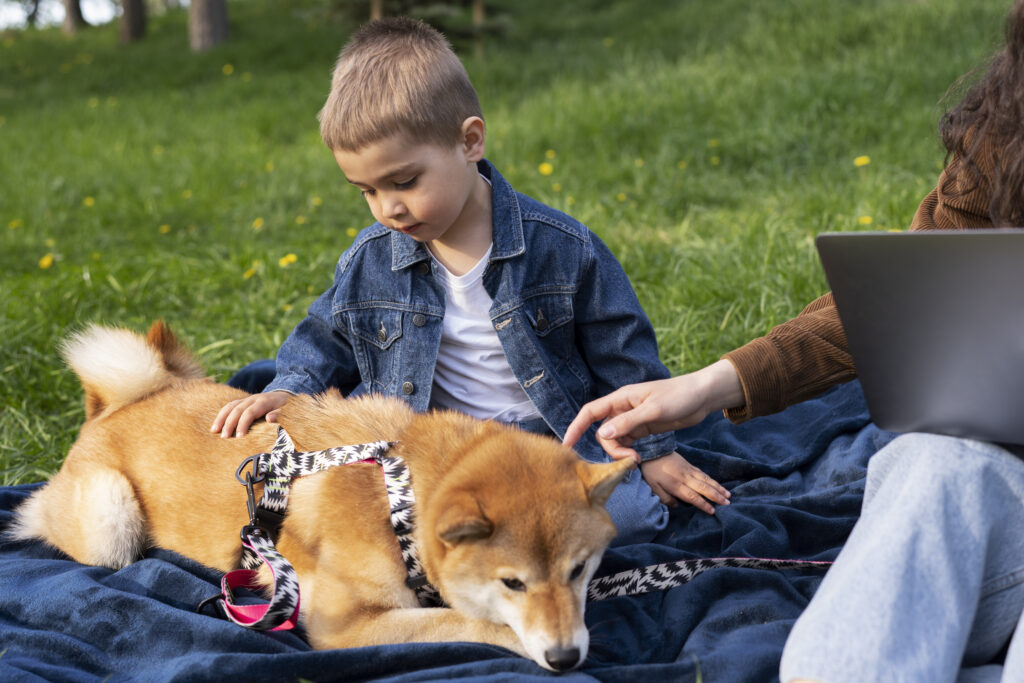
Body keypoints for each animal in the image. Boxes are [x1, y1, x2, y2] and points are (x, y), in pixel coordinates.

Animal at [9, 323, 630, 671]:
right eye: (512, 583)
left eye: (578, 571)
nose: (565, 656)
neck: (398, 500)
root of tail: (112, 407)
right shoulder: (344, 626)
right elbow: (469, 624)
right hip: (111, 521)